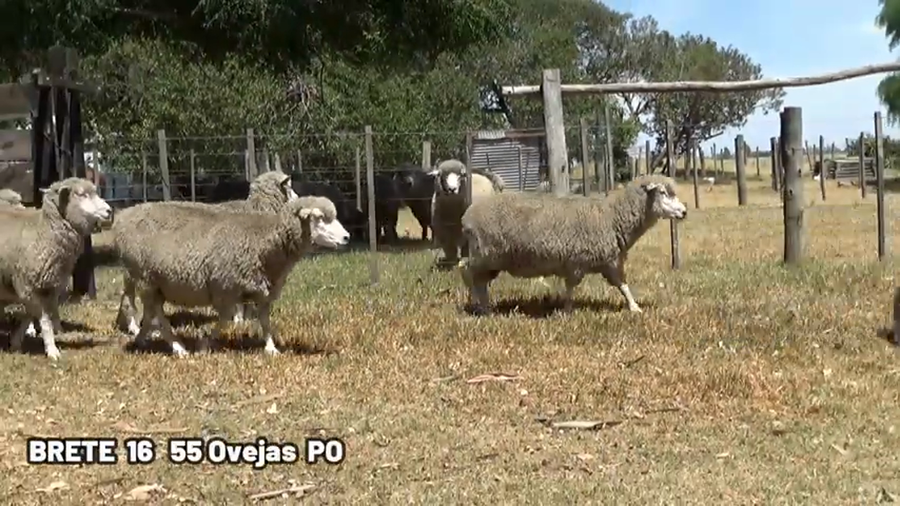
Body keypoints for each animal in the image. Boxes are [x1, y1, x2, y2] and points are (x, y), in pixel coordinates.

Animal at [0, 178, 112, 360]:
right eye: (82, 194)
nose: (109, 211)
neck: (43, 230)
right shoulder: (28, 285)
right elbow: (44, 320)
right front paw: (52, 350)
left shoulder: (48, 286)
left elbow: (29, 315)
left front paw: (15, 342)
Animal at [114, 195, 350, 356]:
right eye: (319, 218)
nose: (347, 237)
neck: (266, 240)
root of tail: (124, 217)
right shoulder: (225, 287)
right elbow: (226, 320)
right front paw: (205, 345)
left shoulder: (262, 288)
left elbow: (264, 320)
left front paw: (271, 348)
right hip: (146, 279)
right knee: (159, 317)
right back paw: (178, 348)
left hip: (154, 284)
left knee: (151, 313)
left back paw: (143, 339)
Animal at [458, 174, 687, 315]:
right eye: (663, 193)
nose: (684, 212)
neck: (612, 216)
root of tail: (467, 216)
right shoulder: (576, 261)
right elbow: (571, 288)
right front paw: (566, 311)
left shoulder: (609, 262)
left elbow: (622, 285)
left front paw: (634, 307)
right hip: (484, 253)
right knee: (469, 273)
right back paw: (481, 307)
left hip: (491, 259)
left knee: (477, 279)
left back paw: (484, 305)